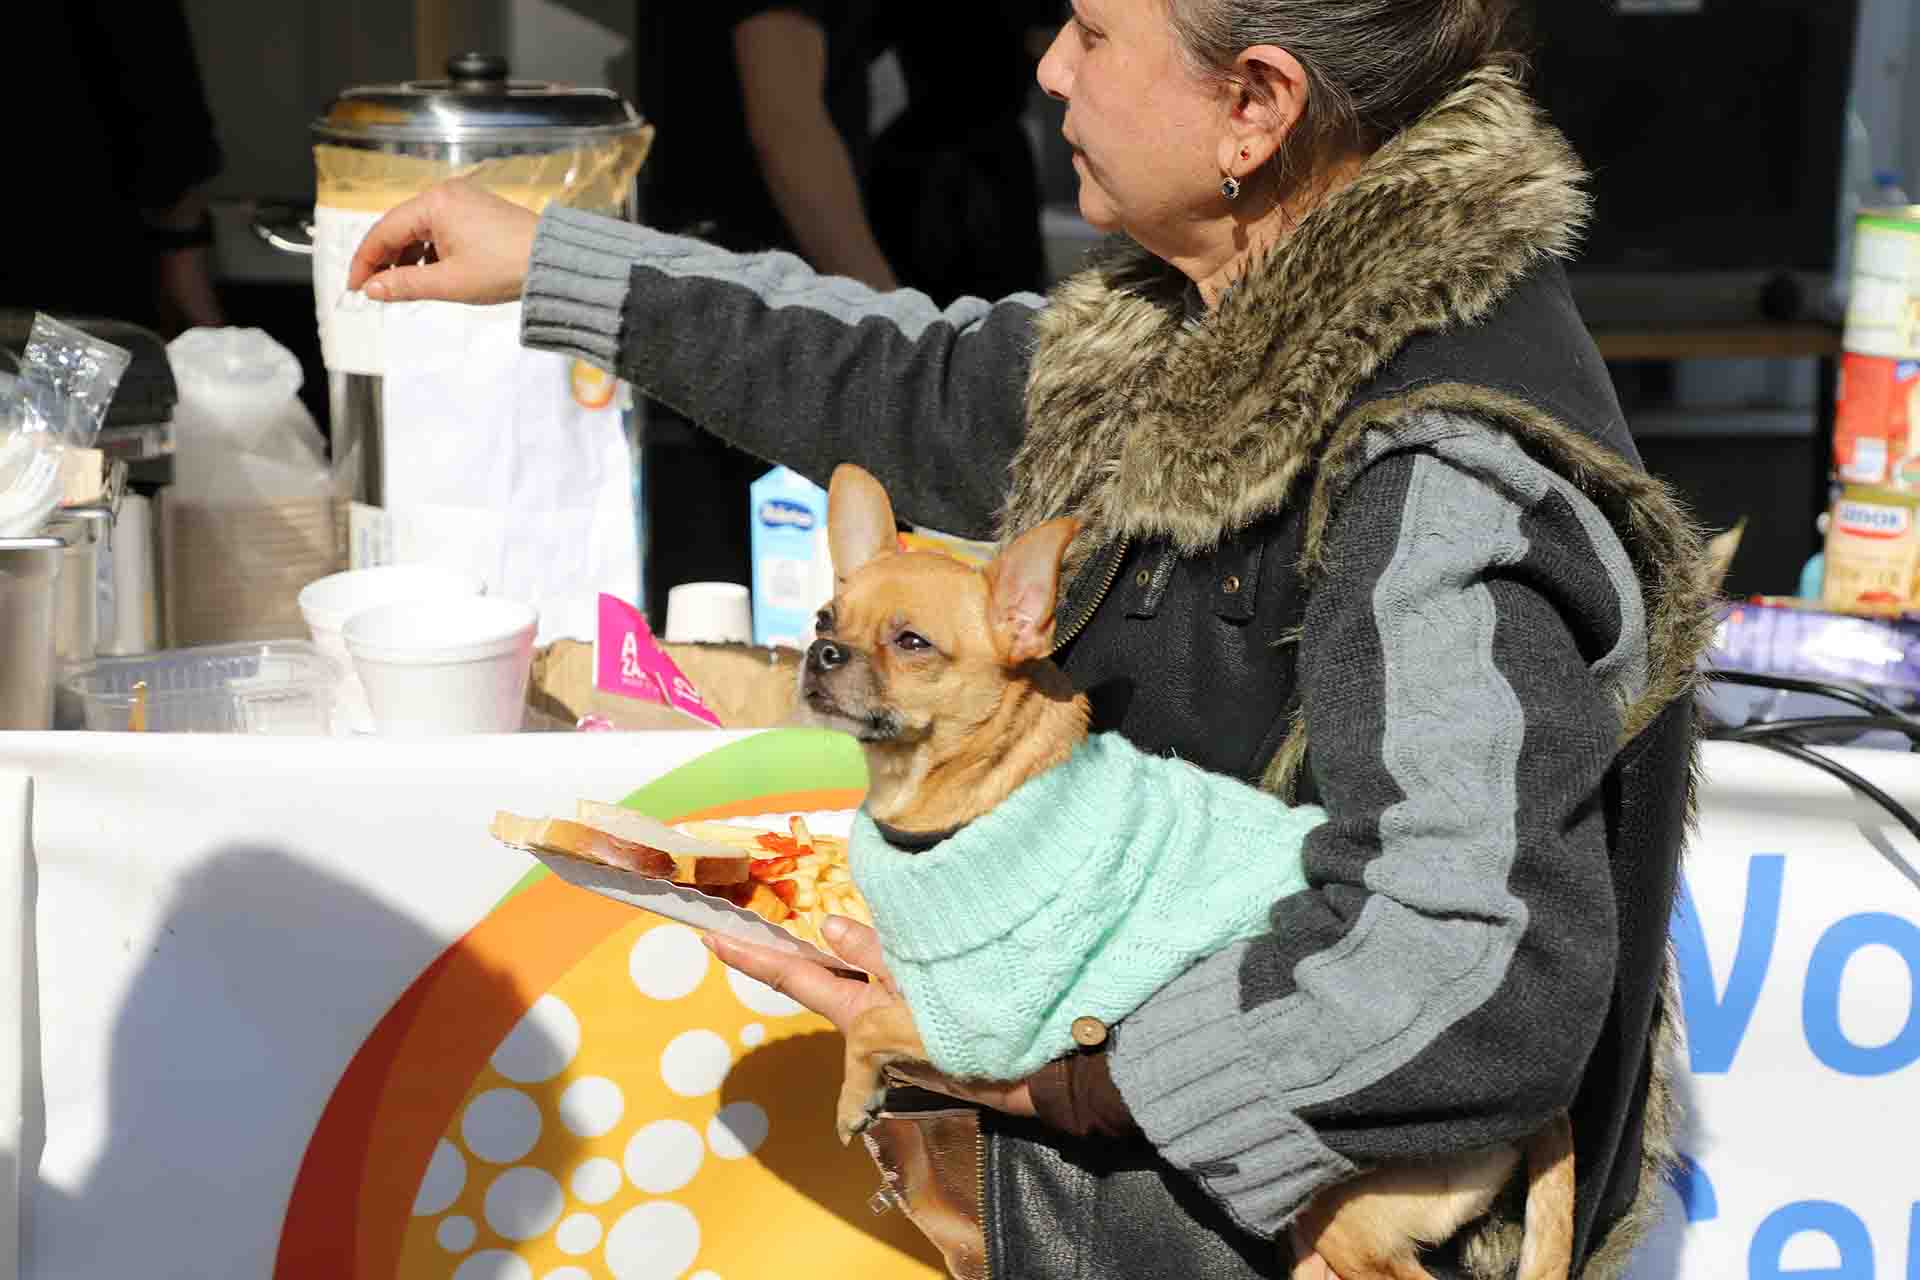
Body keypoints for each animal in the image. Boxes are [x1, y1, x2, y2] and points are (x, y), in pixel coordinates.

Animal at [802, 468, 1566, 1280]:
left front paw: (853, 1098)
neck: (983, 794)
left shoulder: (988, 1032)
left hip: (1353, 1220)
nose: (821, 652)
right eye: (824, 617)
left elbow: (874, 1020)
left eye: (912, 643)